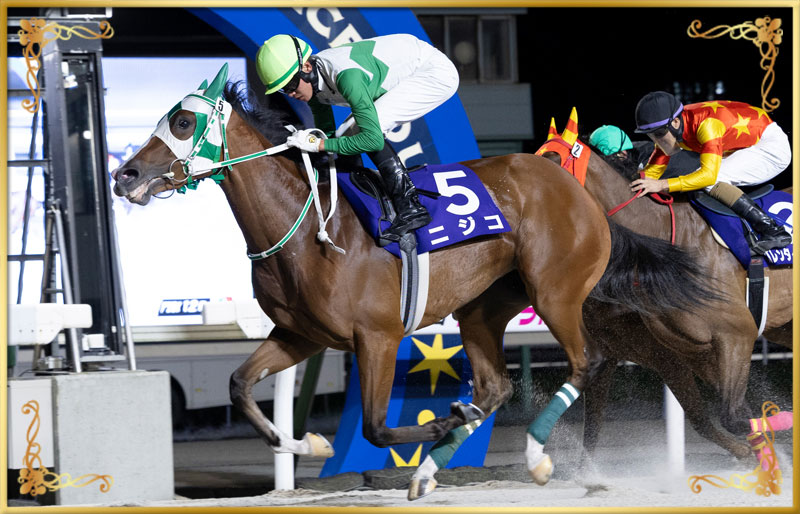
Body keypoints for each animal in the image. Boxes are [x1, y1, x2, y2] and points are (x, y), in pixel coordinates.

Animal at [111, 65, 723, 500]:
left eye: (183, 123)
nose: (125, 174)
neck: (307, 224)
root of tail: (581, 194)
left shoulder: (376, 337)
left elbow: (378, 429)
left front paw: (442, 421)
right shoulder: (300, 335)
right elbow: (240, 385)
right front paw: (306, 440)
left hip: (555, 292)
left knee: (585, 362)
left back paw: (533, 456)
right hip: (482, 308)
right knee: (496, 386)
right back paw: (429, 471)